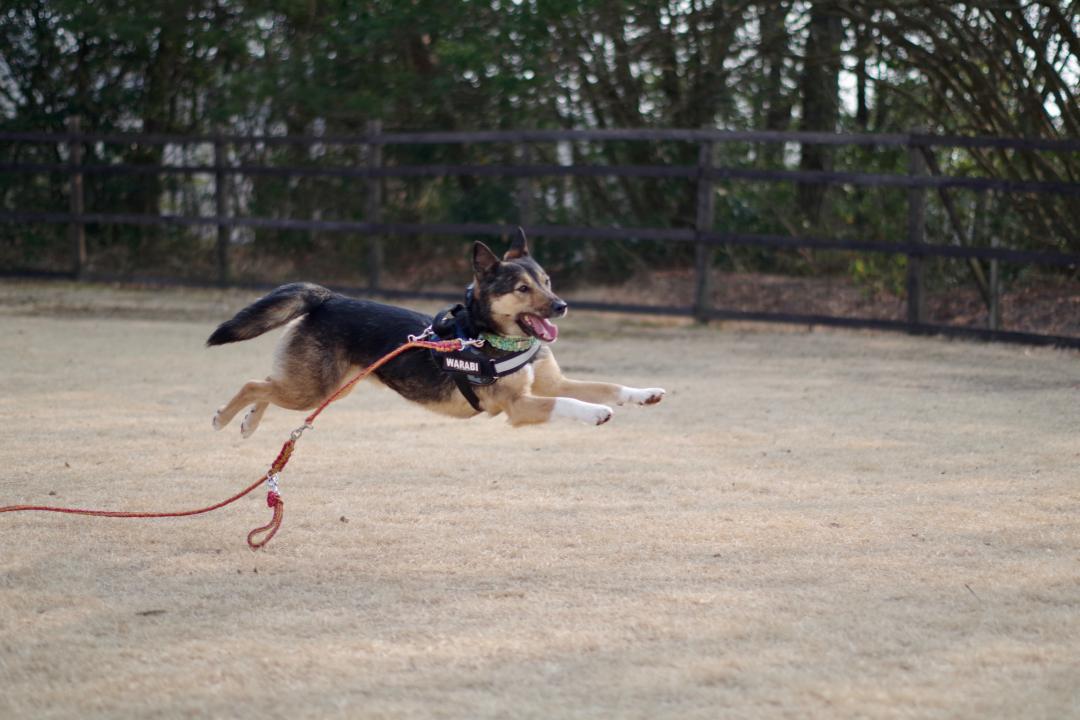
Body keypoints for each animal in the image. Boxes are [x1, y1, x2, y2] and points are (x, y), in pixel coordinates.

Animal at [206, 231, 660, 433]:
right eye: (522, 289)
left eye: (547, 281)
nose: (562, 306)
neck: (492, 338)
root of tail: (327, 298)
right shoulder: (518, 407)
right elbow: (570, 401)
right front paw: (596, 413)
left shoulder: (552, 382)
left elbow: (605, 385)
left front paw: (644, 393)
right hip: (314, 391)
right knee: (254, 383)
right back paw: (224, 418)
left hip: (325, 387)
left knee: (267, 384)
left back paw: (248, 422)